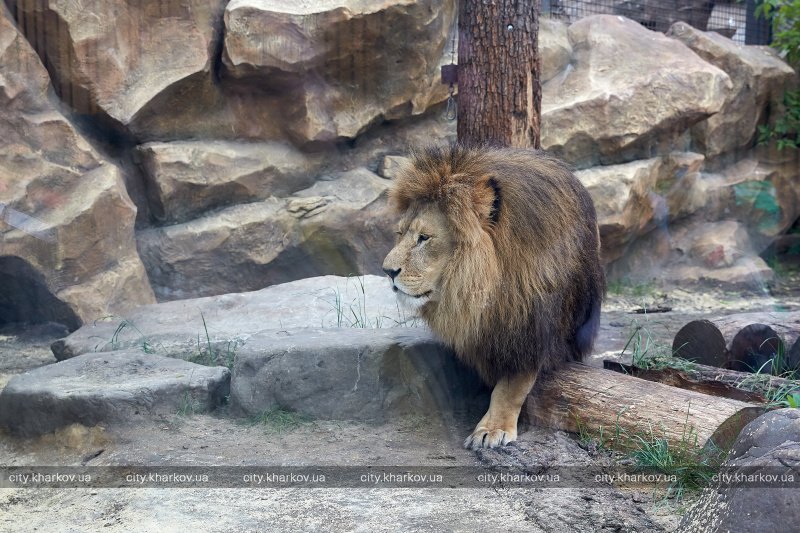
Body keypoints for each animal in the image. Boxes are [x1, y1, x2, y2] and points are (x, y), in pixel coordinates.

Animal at [384, 144, 604, 448]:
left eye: (424, 238)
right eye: (400, 233)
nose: (387, 271)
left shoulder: (531, 330)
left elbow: (511, 386)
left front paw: (492, 427)